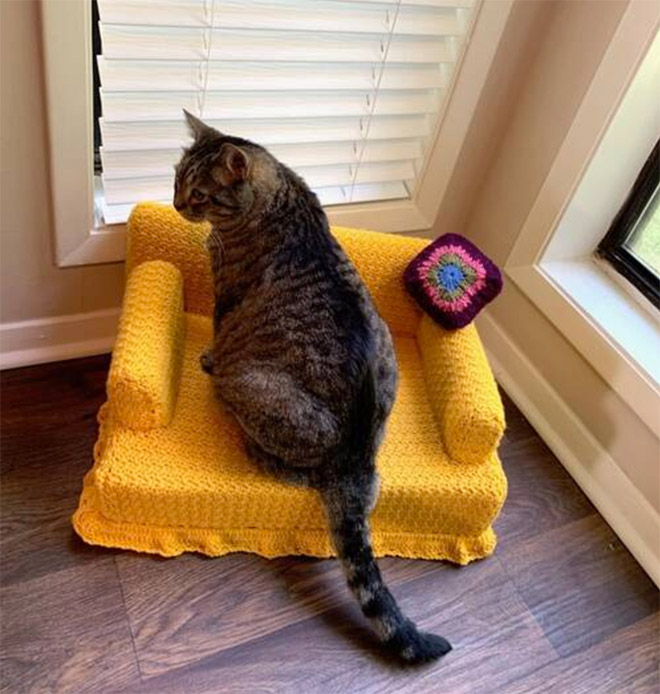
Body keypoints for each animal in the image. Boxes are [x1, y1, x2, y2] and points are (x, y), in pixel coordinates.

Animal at [173, 111, 452, 668]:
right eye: (176, 180)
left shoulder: (225, 297)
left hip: (253, 385)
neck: (281, 198)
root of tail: (355, 462)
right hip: (386, 357)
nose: (174, 204)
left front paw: (207, 356)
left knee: (292, 471)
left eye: (199, 194)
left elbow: (216, 331)